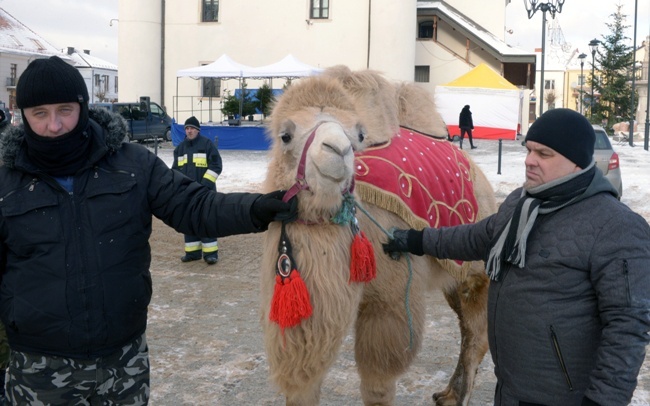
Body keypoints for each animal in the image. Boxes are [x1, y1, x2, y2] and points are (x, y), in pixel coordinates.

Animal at [258, 66, 496, 406]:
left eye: (359, 135)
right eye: (285, 135)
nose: (337, 150)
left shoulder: (391, 297)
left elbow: (378, 382)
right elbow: (304, 381)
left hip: (477, 259)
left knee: (476, 331)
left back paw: (457, 396)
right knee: (465, 324)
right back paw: (448, 394)